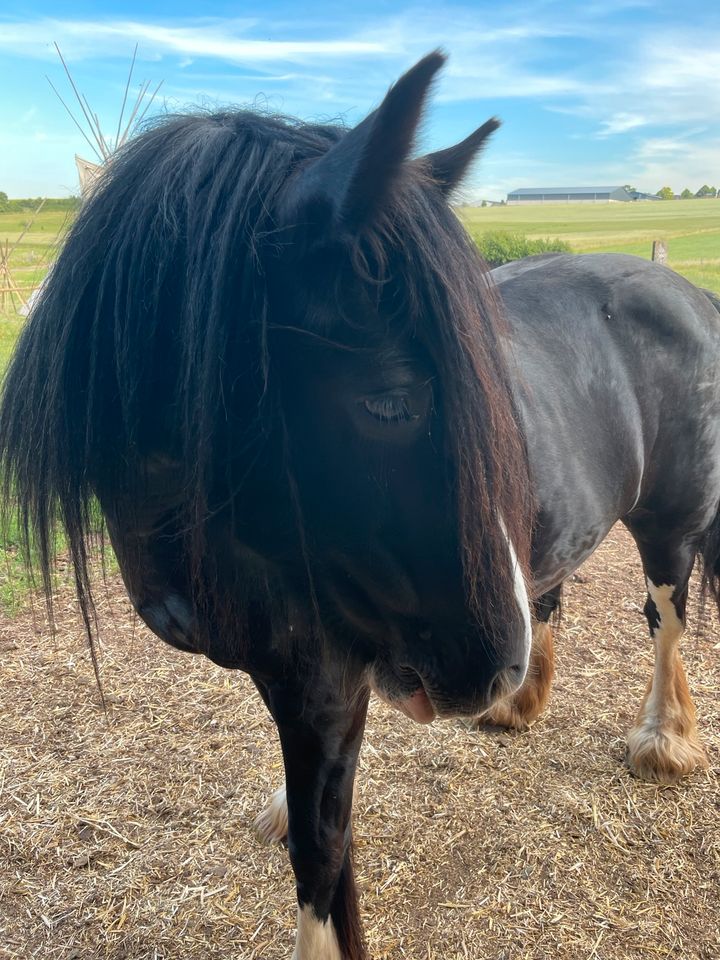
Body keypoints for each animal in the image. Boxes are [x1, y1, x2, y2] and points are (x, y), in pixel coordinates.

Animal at [0, 54, 716, 960]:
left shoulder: (330, 673)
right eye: (388, 400)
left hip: (669, 527)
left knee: (666, 615)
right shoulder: (294, 666)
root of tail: (683, 288)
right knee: (555, 593)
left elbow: (324, 849)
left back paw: (662, 737)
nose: (490, 667)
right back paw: (524, 703)